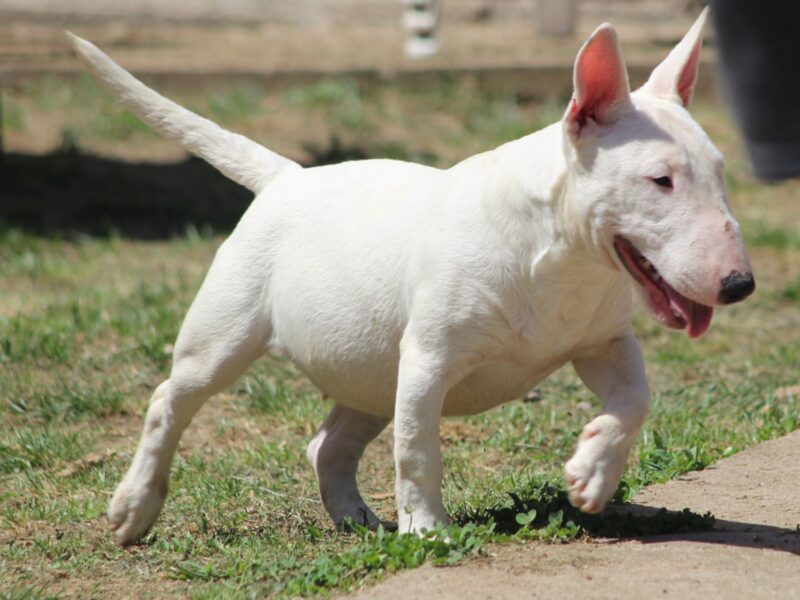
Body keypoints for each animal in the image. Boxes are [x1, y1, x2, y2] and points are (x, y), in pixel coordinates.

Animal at [65, 7, 752, 548]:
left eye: (720, 171)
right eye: (660, 179)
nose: (739, 285)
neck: (560, 257)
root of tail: (288, 177)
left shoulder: (602, 340)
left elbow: (635, 399)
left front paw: (592, 473)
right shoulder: (427, 356)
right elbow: (418, 446)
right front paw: (429, 530)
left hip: (368, 365)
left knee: (328, 445)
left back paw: (357, 520)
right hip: (228, 334)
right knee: (170, 399)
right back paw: (134, 508)